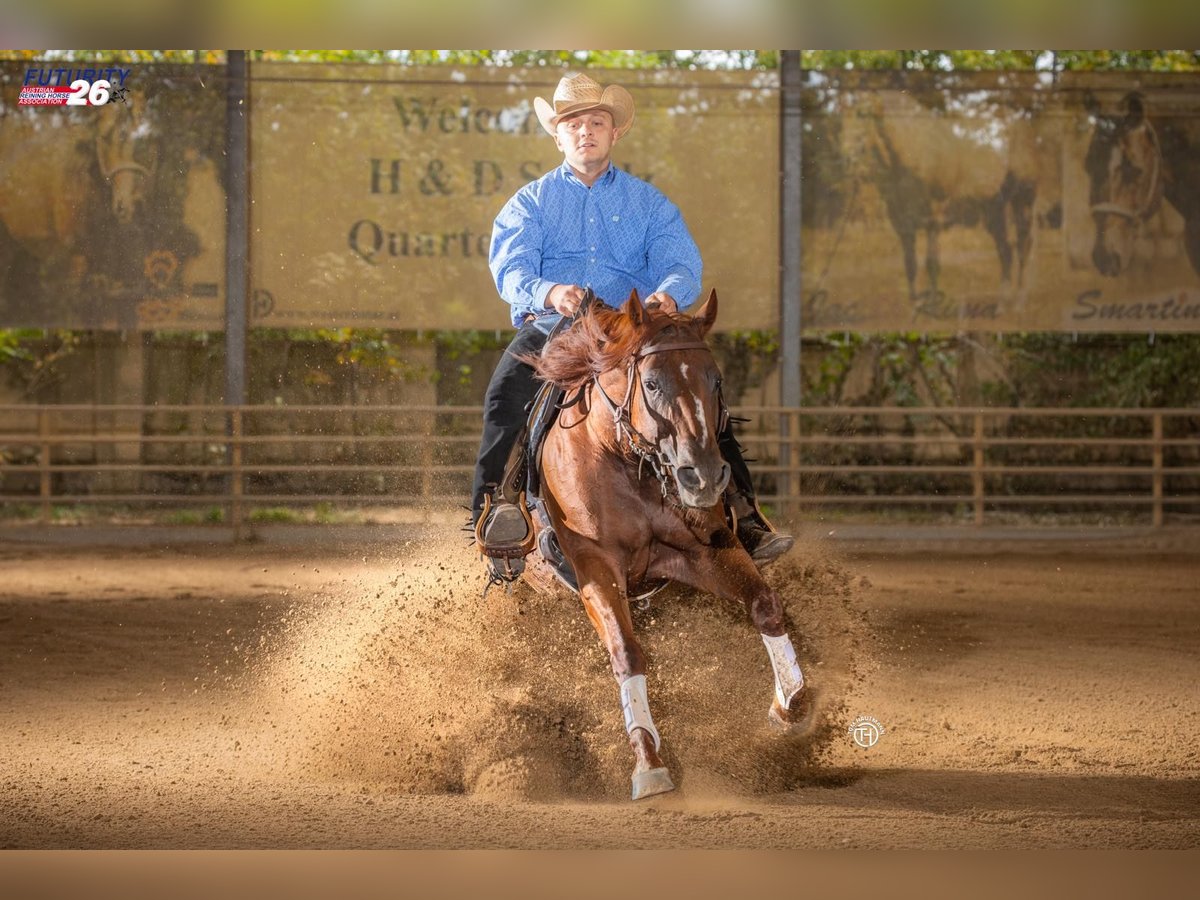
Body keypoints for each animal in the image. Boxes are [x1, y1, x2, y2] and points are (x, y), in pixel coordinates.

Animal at [520, 288, 812, 800]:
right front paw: (648, 761)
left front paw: (790, 705)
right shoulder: (595, 566)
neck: (620, 457)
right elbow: (625, 651)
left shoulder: (703, 550)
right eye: (652, 383)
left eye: (716, 380)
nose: (704, 476)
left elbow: (764, 604)